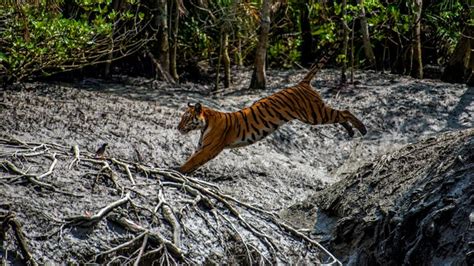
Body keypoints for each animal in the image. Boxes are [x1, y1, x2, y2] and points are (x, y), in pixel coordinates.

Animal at [178, 46, 366, 175]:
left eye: (186, 118)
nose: (178, 128)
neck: (204, 124)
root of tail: (302, 83)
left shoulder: (209, 148)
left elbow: (192, 162)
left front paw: (178, 171)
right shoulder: (201, 147)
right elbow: (192, 160)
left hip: (314, 115)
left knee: (345, 112)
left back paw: (362, 129)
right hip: (316, 114)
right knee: (341, 116)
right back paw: (351, 131)